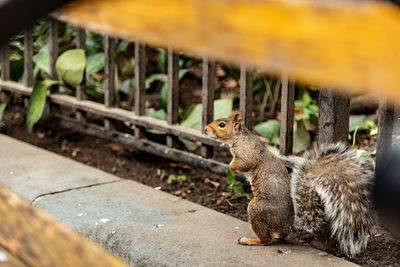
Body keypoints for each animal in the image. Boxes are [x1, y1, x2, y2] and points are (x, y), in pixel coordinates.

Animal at [205, 111, 376, 258]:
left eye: (221, 125)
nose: (206, 129)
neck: (239, 138)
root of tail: (290, 224)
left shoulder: (247, 154)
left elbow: (242, 163)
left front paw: (230, 168)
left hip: (257, 208)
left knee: (266, 240)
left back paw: (250, 240)